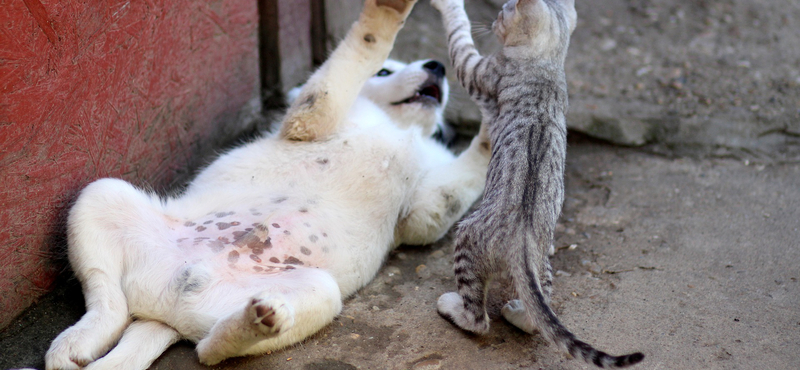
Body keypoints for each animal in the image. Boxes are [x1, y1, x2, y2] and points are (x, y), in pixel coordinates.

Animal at [47, 0, 490, 368]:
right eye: (385, 72)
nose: (437, 66)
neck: (398, 128)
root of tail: (166, 310)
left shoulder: (423, 210)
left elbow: (465, 174)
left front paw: (495, 113)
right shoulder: (311, 120)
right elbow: (359, 52)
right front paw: (387, 14)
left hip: (318, 290)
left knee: (207, 348)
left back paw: (256, 321)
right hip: (100, 194)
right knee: (109, 303)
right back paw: (73, 343)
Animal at [432, 0, 644, 368]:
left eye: (504, 10)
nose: (494, 18)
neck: (547, 62)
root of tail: (520, 244)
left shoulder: (478, 70)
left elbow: (458, 33)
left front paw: (447, 6)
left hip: (466, 238)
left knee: (478, 320)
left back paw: (452, 306)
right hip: (542, 268)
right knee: (537, 316)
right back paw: (517, 312)